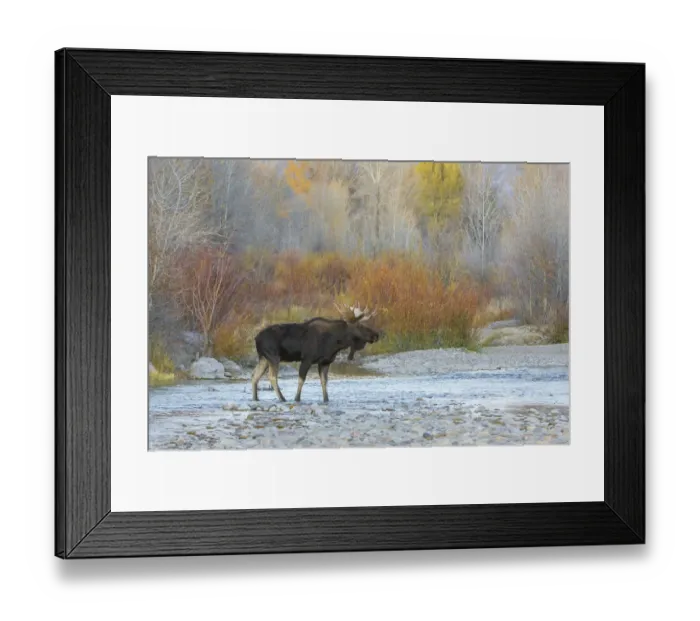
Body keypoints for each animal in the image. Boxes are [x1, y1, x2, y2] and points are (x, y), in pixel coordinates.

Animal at [251, 302, 381, 403]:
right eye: (360, 325)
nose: (376, 335)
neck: (336, 341)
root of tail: (256, 338)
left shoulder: (325, 362)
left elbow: (324, 381)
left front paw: (326, 399)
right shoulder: (307, 359)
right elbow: (301, 380)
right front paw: (297, 399)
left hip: (264, 358)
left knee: (255, 376)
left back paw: (255, 398)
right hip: (273, 356)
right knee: (272, 377)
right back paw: (282, 399)